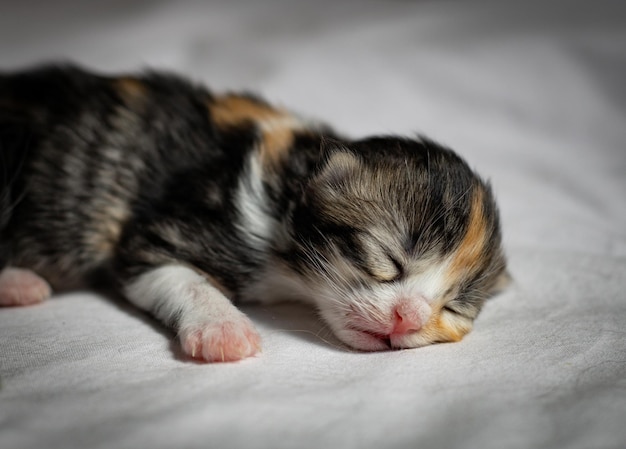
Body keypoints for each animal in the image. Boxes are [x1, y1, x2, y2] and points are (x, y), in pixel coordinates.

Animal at [0, 65, 508, 362]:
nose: (409, 318)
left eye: (454, 306)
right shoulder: (161, 233)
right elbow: (185, 278)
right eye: (387, 260)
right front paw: (224, 332)